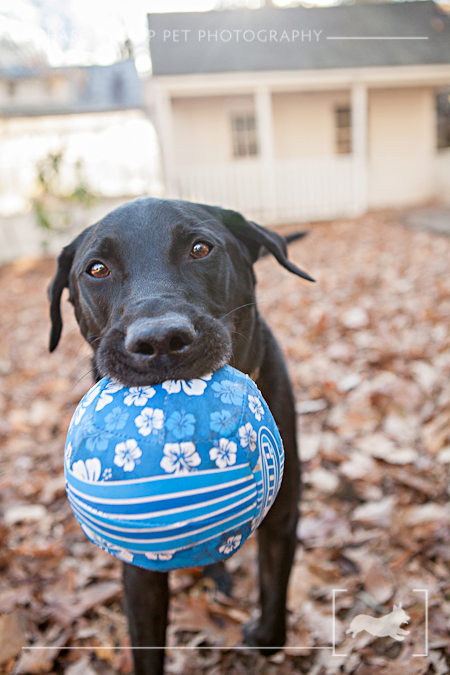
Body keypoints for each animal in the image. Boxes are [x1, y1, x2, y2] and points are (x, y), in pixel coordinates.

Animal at [47, 198, 312, 675]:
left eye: (200, 248)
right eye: (96, 269)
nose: (160, 341)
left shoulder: (283, 517)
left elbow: (273, 619)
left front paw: (258, 635)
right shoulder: (138, 562)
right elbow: (146, 647)